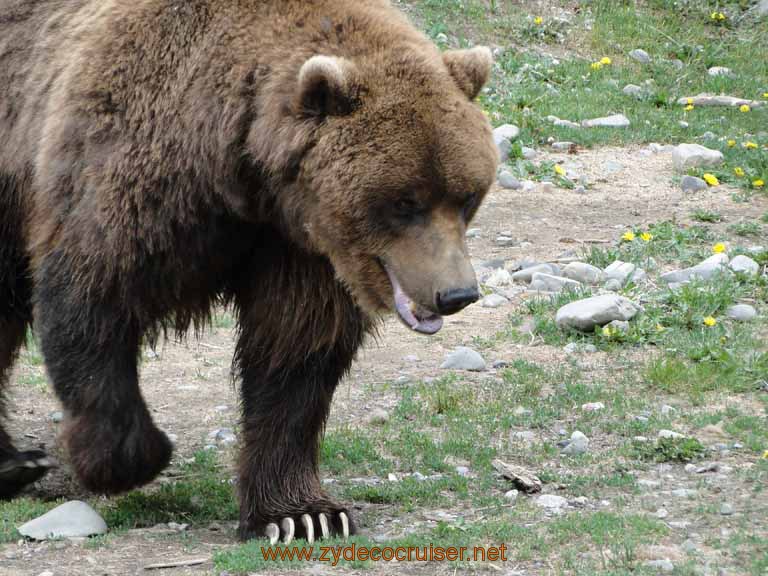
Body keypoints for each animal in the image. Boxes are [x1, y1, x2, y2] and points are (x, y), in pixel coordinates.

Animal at [0, 0, 498, 540]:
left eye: (467, 196)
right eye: (406, 201)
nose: (457, 293)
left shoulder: (294, 242)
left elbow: (294, 352)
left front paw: (303, 514)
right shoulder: (132, 174)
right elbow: (91, 300)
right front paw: (131, 458)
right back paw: (17, 463)